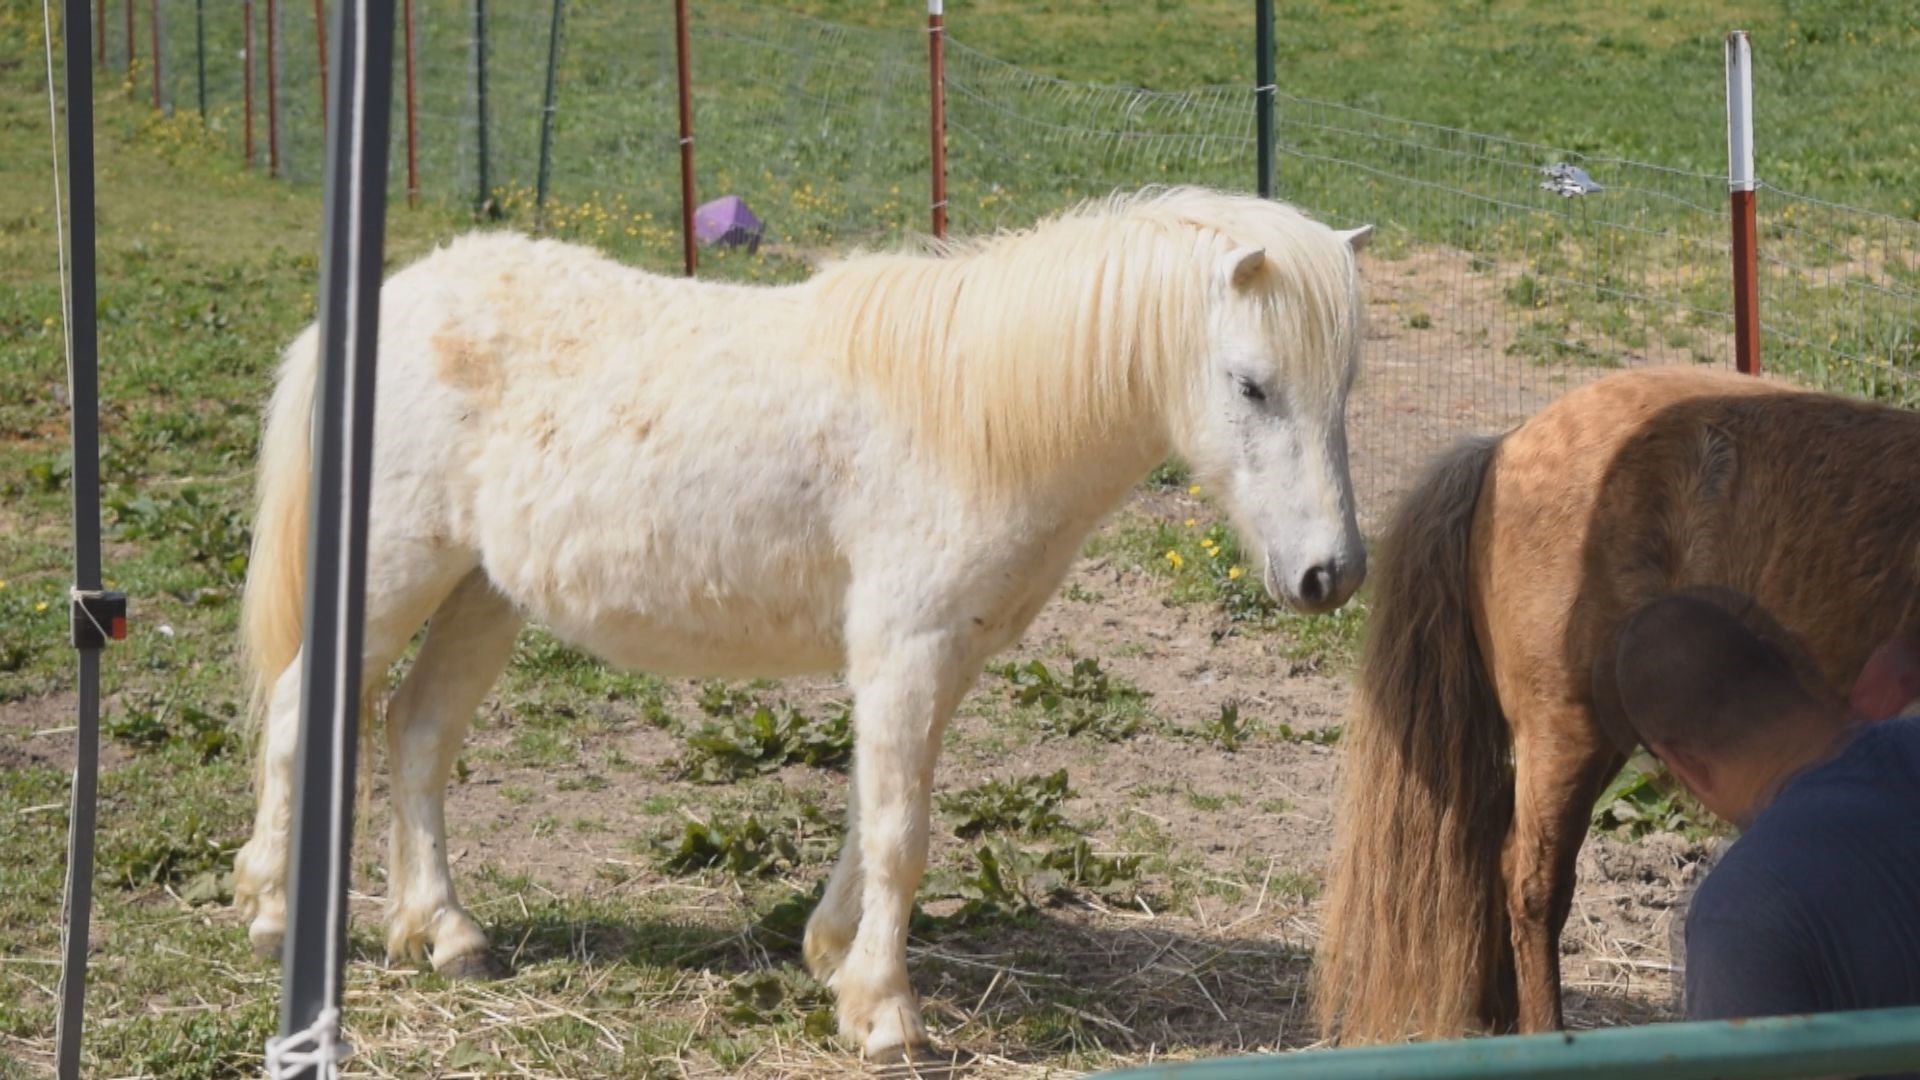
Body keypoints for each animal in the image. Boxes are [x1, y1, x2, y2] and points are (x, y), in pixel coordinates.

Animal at [230, 187, 1375, 1058]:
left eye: (1346, 388)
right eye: (1251, 385)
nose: (1332, 575)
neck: (969, 413)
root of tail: (383, 301)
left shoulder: (931, 659)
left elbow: (872, 809)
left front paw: (831, 956)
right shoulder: (906, 653)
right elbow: (902, 832)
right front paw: (884, 1016)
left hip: (481, 593)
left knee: (418, 732)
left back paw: (446, 934)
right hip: (390, 576)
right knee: (297, 714)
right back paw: (274, 914)